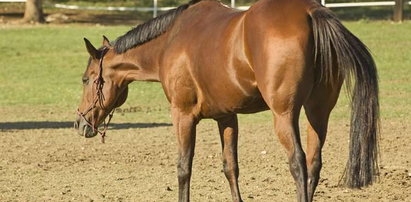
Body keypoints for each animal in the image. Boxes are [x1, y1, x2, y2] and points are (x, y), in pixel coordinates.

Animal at [73, 0, 380, 201]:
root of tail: (310, 11)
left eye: (86, 79)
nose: (80, 123)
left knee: (299, 162)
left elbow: (184, 167)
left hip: (284, 115)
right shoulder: (227, 117)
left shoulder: (182, 116)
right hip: (318, 113)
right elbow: (230, 167)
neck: (171, 41)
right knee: (314, 163)